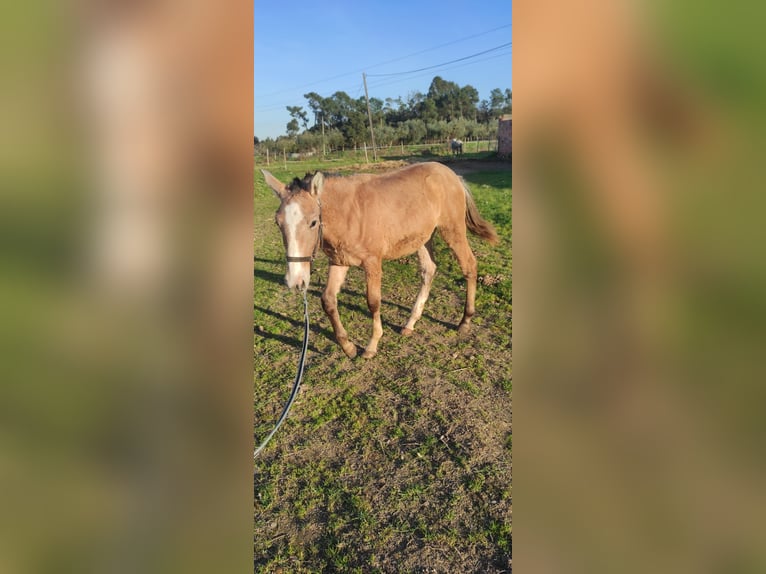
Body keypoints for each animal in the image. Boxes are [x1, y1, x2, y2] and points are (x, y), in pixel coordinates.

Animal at [260, 162, 500, 360]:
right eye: (278, 223)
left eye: (312, 222)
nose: (295, 281)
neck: (349, 214)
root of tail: (452, 175)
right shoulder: (339, 262)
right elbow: (327, 300)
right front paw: (348, 347)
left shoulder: (372, 262)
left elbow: (373, 302)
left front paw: (371, 347)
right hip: (423, 238)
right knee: (429, 270)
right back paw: (410, 323)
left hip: (452, 231)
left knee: (469, 266)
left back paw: (465, 321)